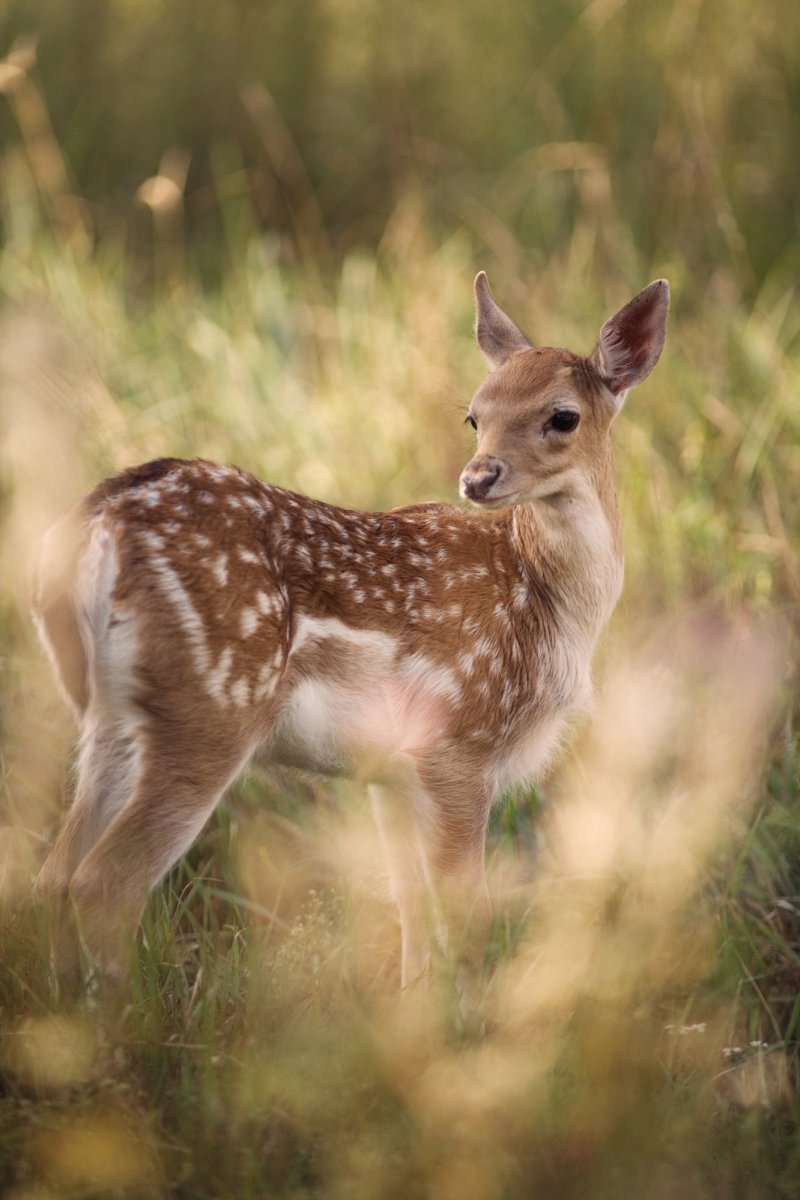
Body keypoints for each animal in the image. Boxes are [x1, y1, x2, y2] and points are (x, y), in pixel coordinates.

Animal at [32, 276, 671, 988]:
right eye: (475, 416)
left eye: (563, 417)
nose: (478, 477)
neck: (550, 606)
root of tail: (94, 528)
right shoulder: (461, 745)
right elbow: (465, 911)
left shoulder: (388, 772)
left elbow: (411, 904)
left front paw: (414, 1004)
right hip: (211, 707)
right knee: (105, 882)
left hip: (112, 716)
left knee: (54, 874)